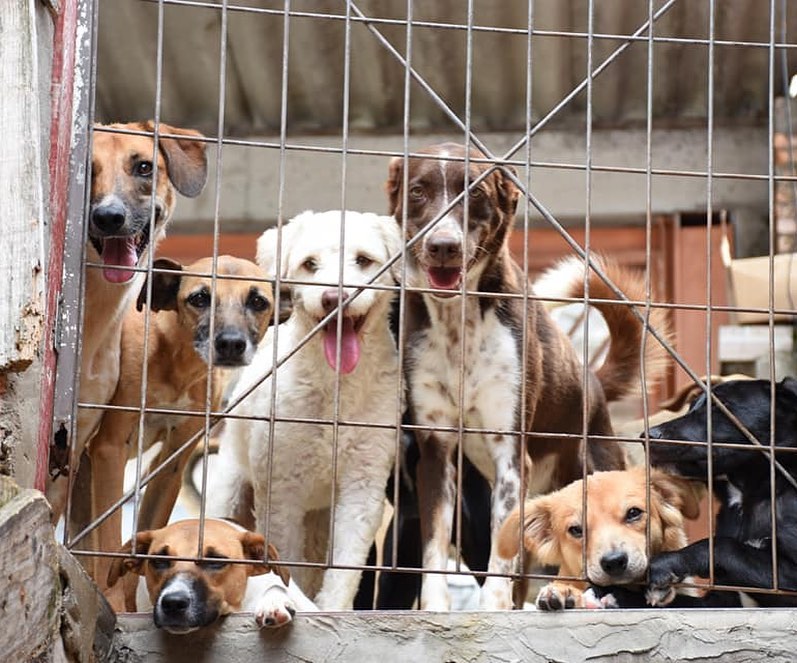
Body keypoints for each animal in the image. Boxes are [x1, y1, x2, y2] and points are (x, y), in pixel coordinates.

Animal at [90, 256, 274, 608]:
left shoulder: (168, 468)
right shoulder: (109, 451)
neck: (178, 362)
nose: (231, 344)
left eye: (258, 302)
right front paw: (114, 604)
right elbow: (109, 545)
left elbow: (142, 548)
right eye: (199, 298)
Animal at [208, 210, 402, 608]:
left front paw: (331, 607)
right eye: (310, 264)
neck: (335, 386)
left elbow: (345, 567)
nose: (333, 298)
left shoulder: (363, 484)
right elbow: (285, 558)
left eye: (363, 260)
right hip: (230, 491)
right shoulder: (282, 488)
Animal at [644, 378, 796, 608]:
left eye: (719, 407)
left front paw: (666, 563)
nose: (645, 436)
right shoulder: (721, 599)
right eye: (691, 407)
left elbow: (724, 545)